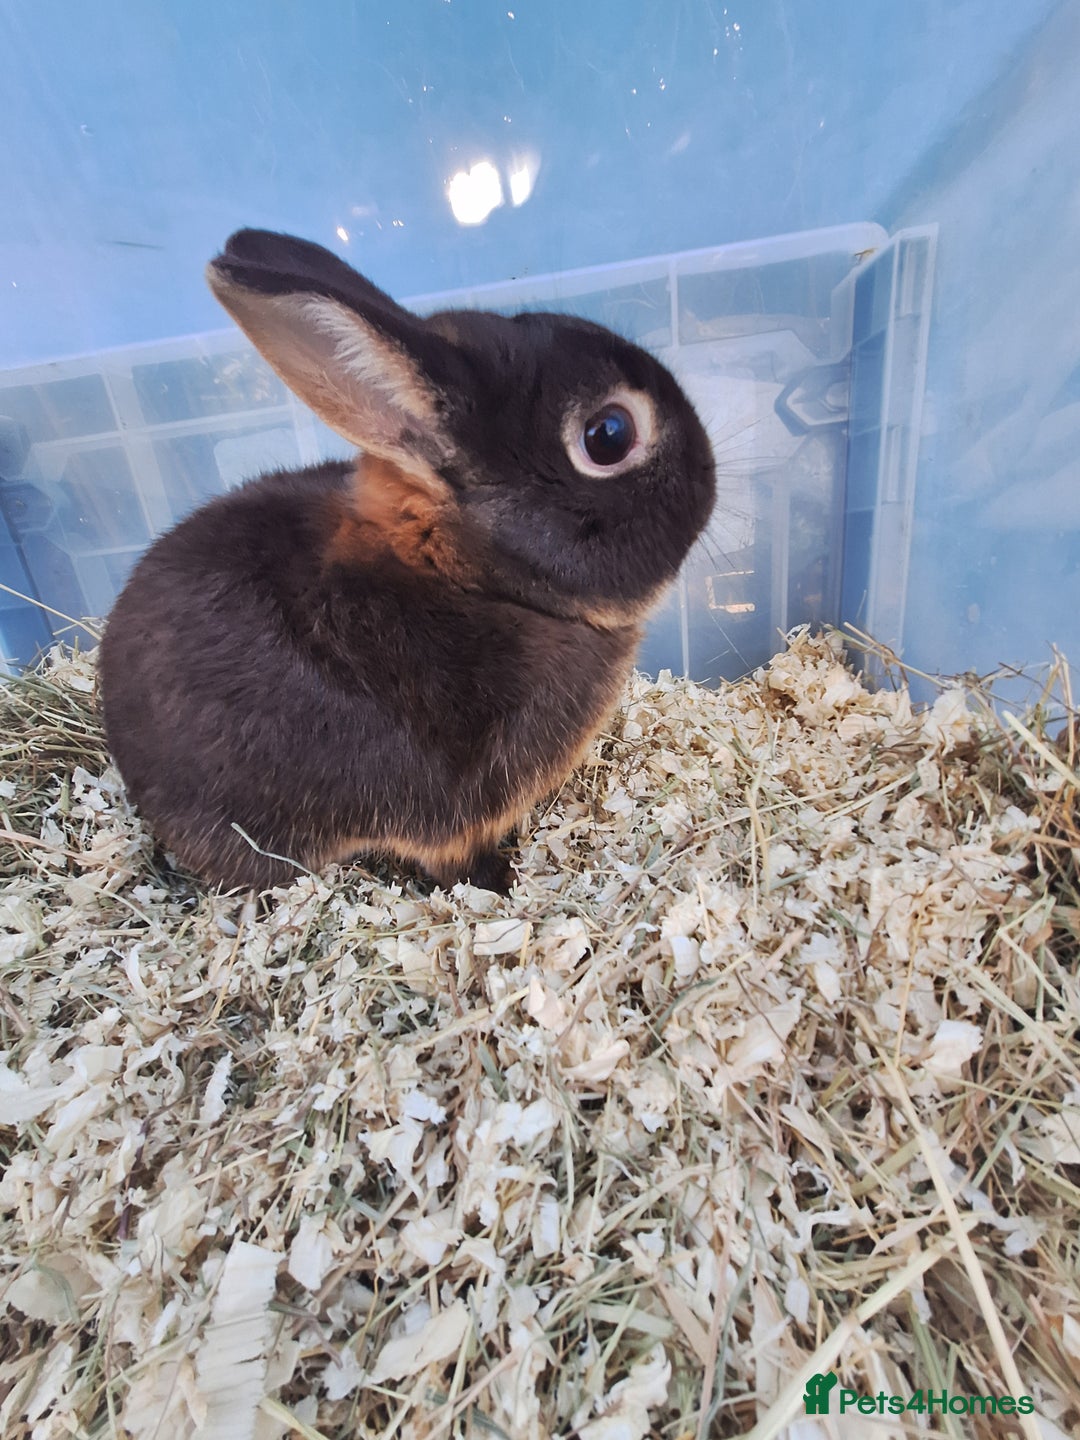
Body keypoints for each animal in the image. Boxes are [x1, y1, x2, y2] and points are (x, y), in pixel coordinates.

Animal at [98, 228, 717, 895]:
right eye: (609, 435)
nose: (709, 473)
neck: (466, 579)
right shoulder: (457, 815)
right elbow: (458, 860)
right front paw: (501, 884)